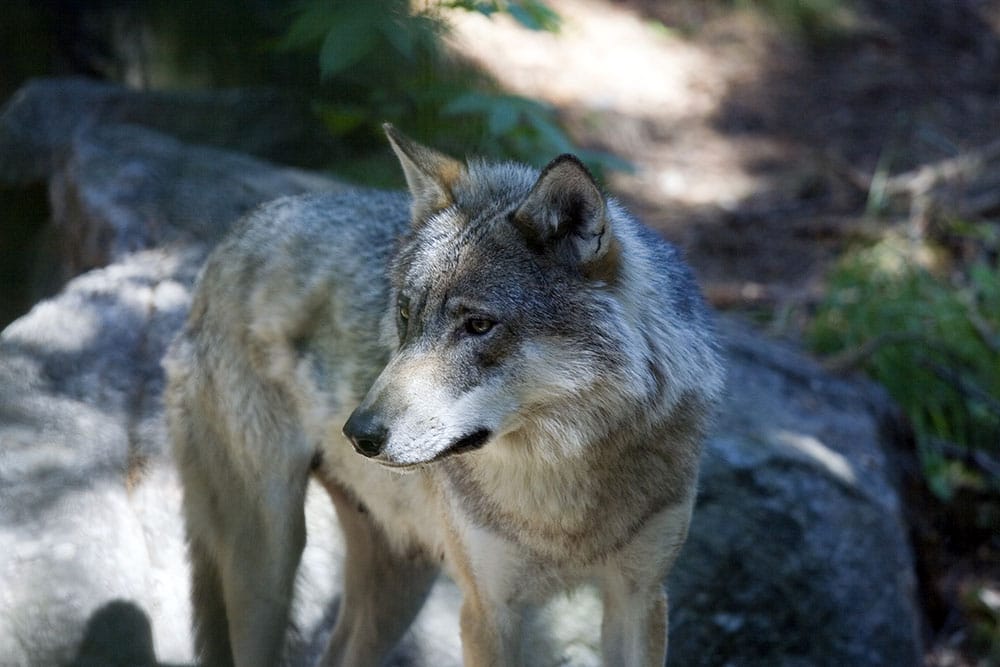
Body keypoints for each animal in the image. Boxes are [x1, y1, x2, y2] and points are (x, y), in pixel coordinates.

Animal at [166, 122, 728, 664]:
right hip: (270, 562)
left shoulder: (640, 599)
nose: (358, 434)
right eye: (405, 314)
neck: (559, 485)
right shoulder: (488, 610)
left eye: (478, 325)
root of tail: (235, 234)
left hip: (400, 588)